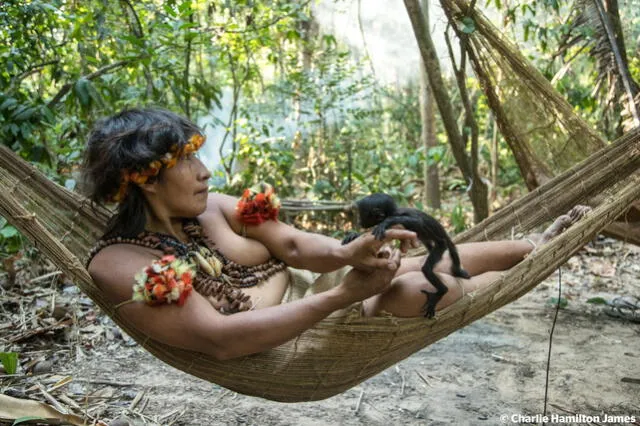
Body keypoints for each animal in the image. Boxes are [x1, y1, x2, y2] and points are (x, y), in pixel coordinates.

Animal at [340, 195, 470, 318]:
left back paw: (442, 291)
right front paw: (353, 235)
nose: (359, 221)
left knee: (428, 267)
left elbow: (418, 222)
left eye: (361, 214)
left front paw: (385, 223)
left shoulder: (401, 215)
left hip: (441, 246)